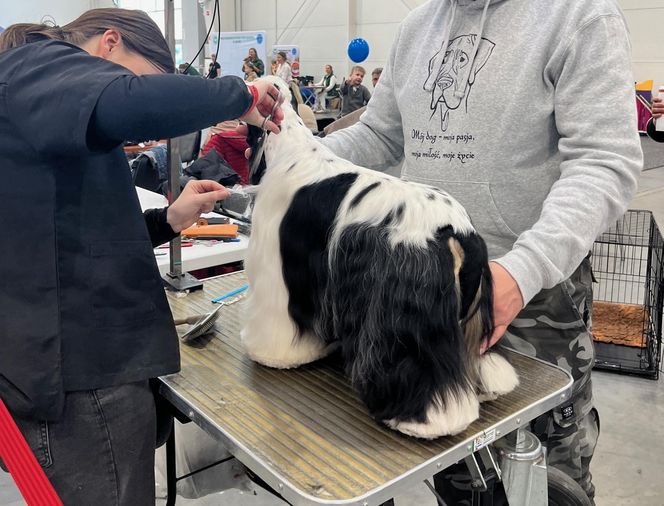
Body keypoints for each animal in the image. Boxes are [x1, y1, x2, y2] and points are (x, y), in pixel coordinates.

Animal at [240, 76, 520, 438]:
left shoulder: (280, 270)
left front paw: (274, 355)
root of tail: (455, 232)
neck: (290, 148)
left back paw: (423, 420)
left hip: (411, 316)